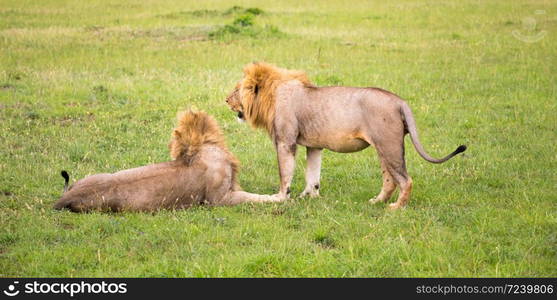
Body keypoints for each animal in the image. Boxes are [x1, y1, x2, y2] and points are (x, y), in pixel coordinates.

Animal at [225, 62, 464, 210]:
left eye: (237, 90)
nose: (226, 100)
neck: (272, 95)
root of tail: (399, 100)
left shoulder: (285, 142)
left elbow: (285, 174)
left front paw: (280, 198)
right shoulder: (314, 145)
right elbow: (313, 175)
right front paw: (309, 197)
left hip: (388, 145)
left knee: (406, 180)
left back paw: (396, 208)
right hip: (383, 148)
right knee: (390, 180)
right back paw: (376, 202)